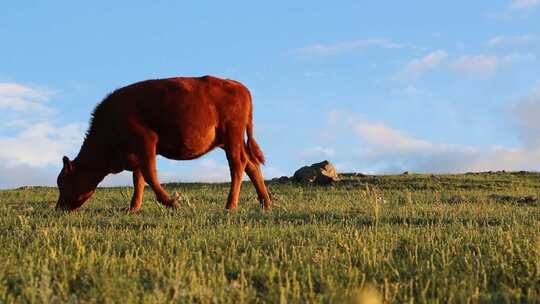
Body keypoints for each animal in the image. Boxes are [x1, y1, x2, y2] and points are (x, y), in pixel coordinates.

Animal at [57, 75, 272, 211]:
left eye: (63, 182)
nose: (59, 208)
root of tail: (238, 85)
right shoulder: (136, 153)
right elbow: (139, 180)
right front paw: (133, 208)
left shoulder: (146, 141)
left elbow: (149, 175)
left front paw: (171, 202)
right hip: (228, 140)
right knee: (251, 164)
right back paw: (266, 203)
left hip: (232, 134)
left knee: (237, 165)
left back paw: (231, 206)